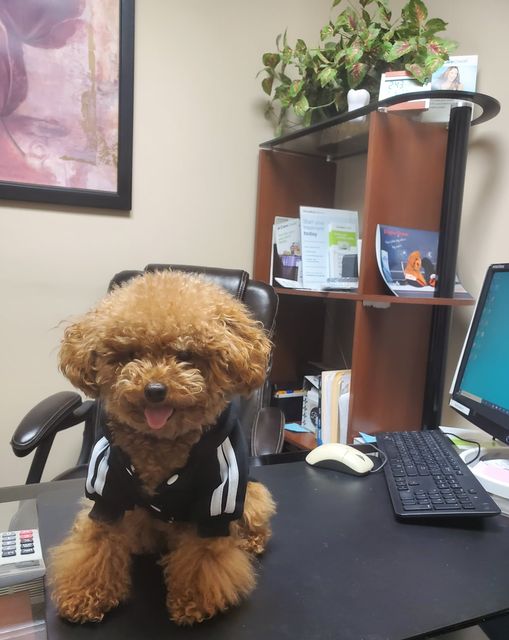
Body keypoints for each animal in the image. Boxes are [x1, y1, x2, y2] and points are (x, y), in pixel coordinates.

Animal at [49, 268, 276, 624]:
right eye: (130, 355)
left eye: (185, 355)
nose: (154, 390)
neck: (160, 446)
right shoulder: (106, 494)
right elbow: (95, 545)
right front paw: (85, 596)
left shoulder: (214, 503)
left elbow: (202, 560)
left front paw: (192, 601)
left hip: (251, 494)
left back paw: (251, 541)